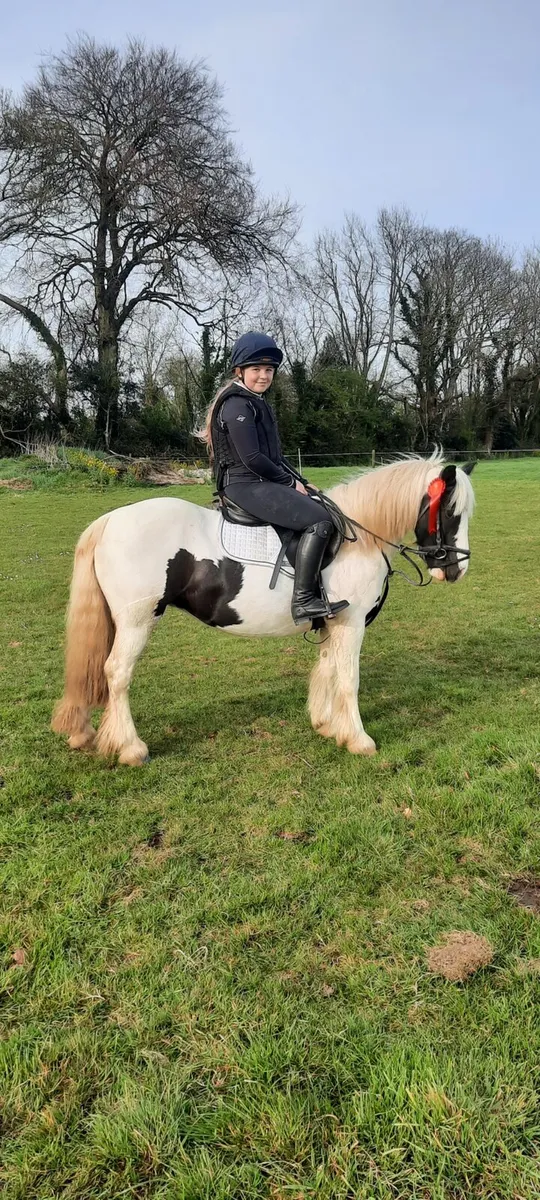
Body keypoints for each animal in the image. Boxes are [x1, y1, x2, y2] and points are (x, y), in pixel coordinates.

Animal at [51, 453, 475, 766]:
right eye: (450, 513)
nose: (458, 569)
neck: (359, 538)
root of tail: (110, 520)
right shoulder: (351, 624)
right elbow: (349, 680)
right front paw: (358, 739)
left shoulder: (331, 623)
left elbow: (327, 670)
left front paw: (327, 726)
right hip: (137, 621)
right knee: (116, 673)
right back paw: (130, 748)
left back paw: (84, 733)